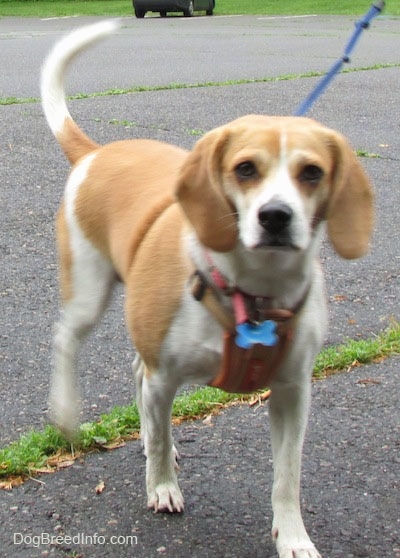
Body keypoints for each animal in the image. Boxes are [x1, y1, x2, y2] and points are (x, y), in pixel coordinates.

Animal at [40, 21, 372, 558]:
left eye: (312, 173)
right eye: (245, 168)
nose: (275, 216)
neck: (252, 290)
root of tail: (95, 153)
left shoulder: (292, 392)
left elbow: (287, 477)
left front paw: (293, 537)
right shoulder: (165, 377)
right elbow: (158, 440)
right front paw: (161, 487)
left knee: (136, 377)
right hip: (89, 291)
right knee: (67, 340)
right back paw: (68, 415)